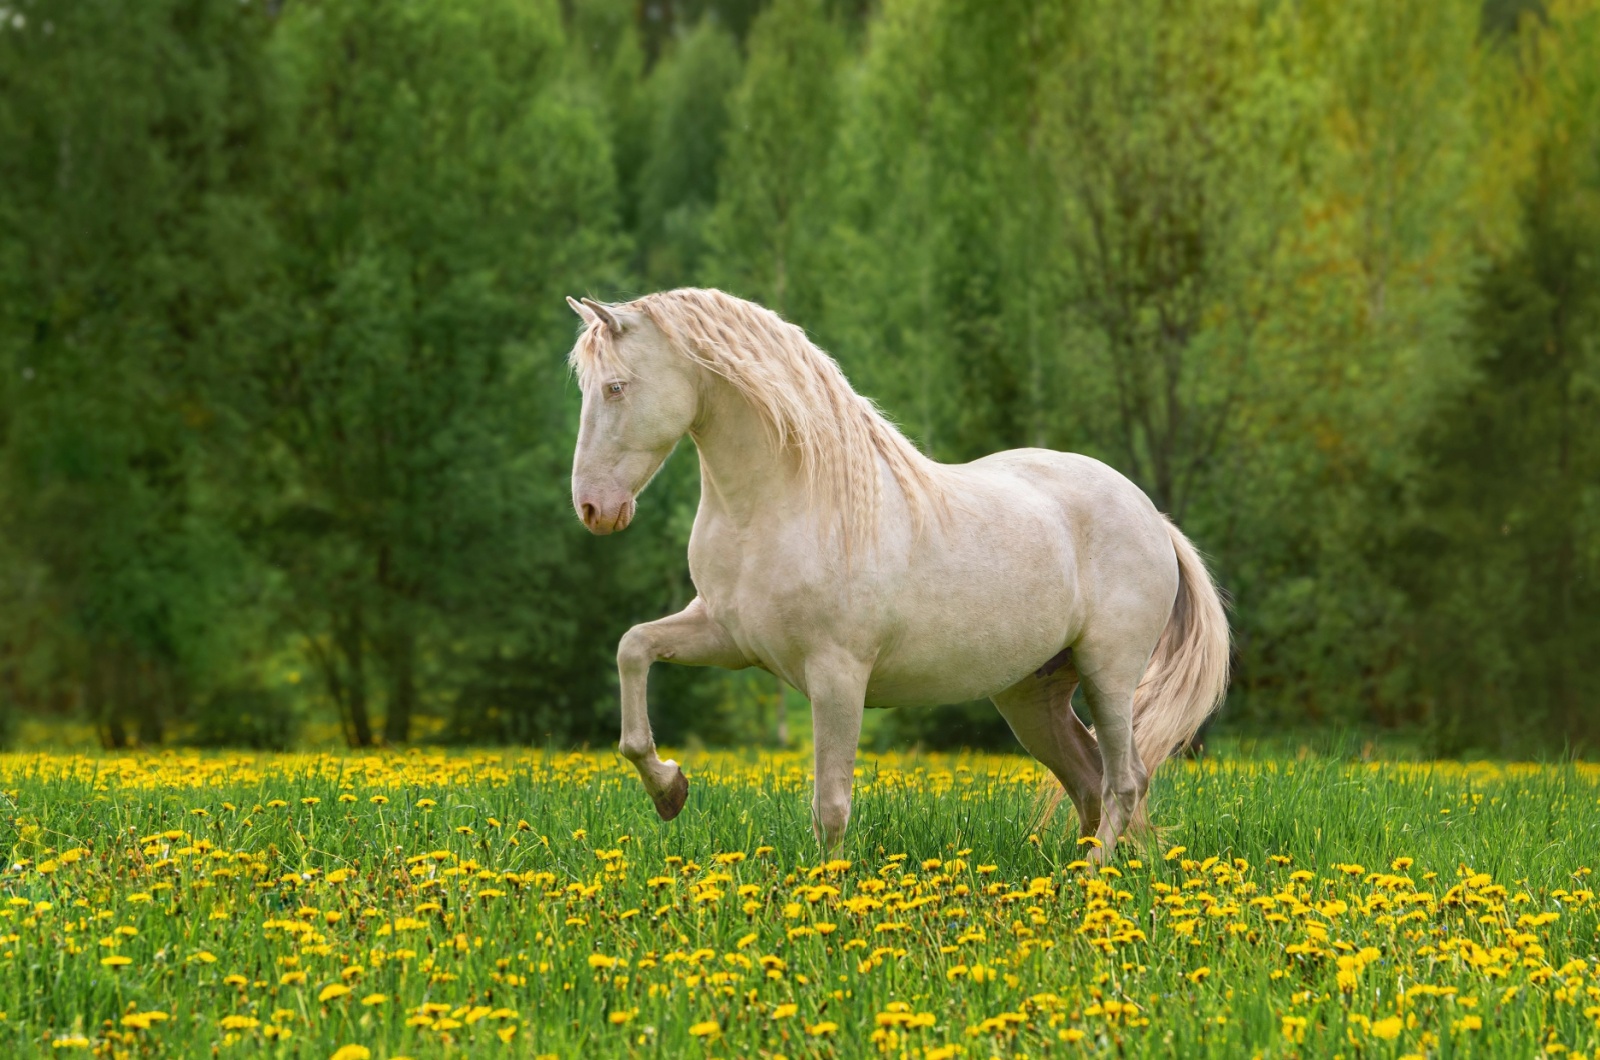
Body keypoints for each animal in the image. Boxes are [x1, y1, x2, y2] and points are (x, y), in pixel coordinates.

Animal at [563, 288, 1222, 858]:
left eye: (616, 387)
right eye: (587, 388)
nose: (594, 509)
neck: (782, 502)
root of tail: (1152, 516)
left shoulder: (837, 675)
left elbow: (830, 805)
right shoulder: (728, 638)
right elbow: (633, 650)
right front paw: (668, 788)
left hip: (1108, 674)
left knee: (1125, 780)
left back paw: (1091, 879)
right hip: (1032, 697)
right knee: (1088, 780)